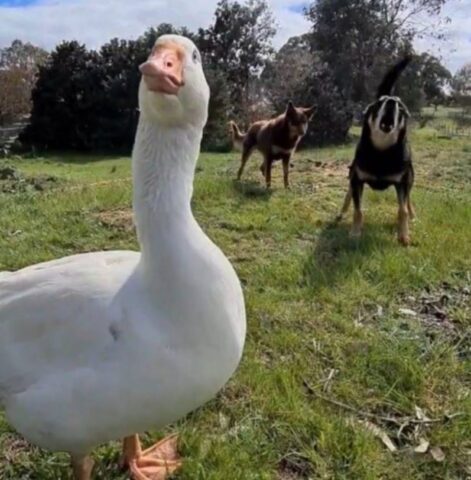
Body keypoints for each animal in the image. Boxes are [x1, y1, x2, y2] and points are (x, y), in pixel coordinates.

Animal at [338, 57, 414, 246]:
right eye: (380, 103)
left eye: (400, 105)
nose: (391, 103)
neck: (382, 152)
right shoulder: (357, 180)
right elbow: (358, 209)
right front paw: (355, 233)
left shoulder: (402, 183)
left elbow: (402, 210)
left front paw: (404, 235)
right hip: (352, 174)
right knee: (349, 194)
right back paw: (342, 212)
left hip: (410, 177)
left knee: (408, 201)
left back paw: (412, 214)